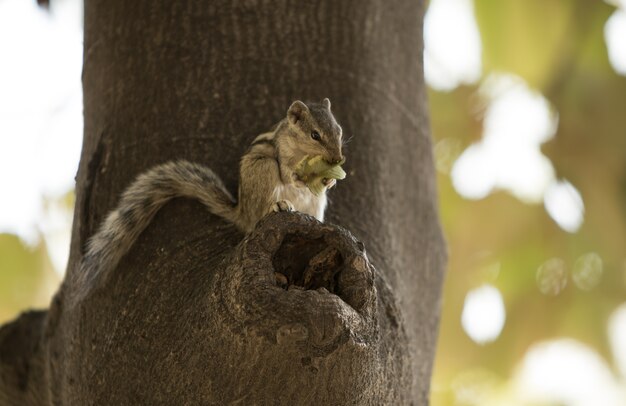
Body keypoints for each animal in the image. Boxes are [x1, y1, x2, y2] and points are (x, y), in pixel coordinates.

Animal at [78, 97, 344, 288]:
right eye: (315, 135)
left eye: (339, 131)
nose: (337, 158)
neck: (303, 153)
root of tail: (242, 213)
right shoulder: (281, 153)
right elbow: (289, 175)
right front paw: (300, 179)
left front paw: (331, 180)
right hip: (263, 169)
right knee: (260, 213)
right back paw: (277, 206)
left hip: (316, 201)